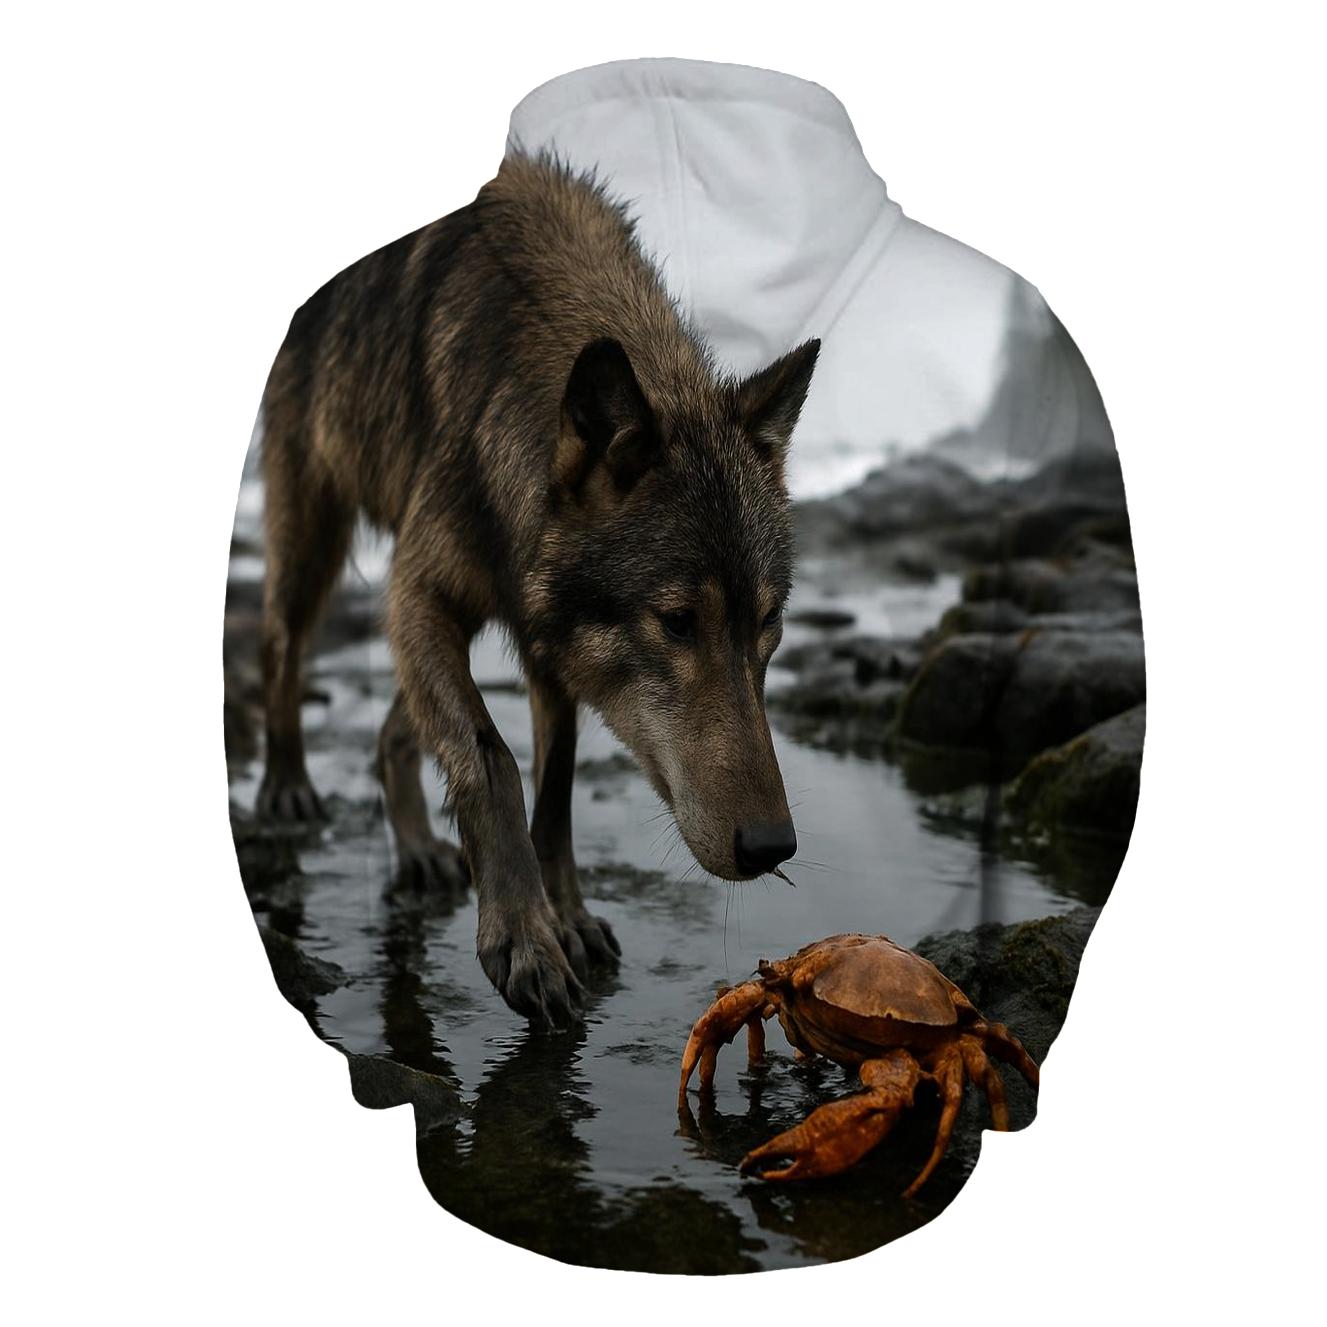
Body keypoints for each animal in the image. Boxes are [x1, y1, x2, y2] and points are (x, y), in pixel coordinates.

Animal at [256, 152, 818, 1027]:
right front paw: (523, 937)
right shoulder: (421, 592)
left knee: (395, 727)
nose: (771, 848)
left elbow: (552, 789)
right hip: (312, 536)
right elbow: (492, 759)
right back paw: (285, 785)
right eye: (676, 621)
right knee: (277, 649)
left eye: (767, 625)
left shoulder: (547, 644)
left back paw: (416, 847)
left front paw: (568, 917)